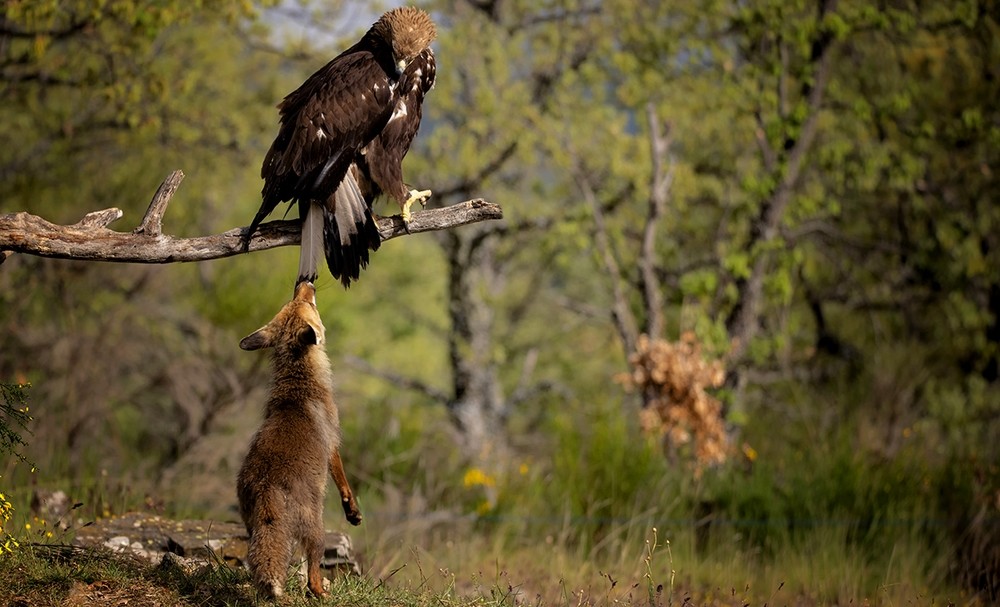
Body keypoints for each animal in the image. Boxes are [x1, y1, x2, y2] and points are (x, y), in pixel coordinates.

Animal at [236, 284, 362, 600]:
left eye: (293, 301)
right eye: (311, 305)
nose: (306, 284)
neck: (300, 383)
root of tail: (267, 484)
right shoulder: (333, 443)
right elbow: (343, 482)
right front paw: (352, 512)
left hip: (253, 527)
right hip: (317, 529)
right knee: (312, 574)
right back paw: (323, 592)